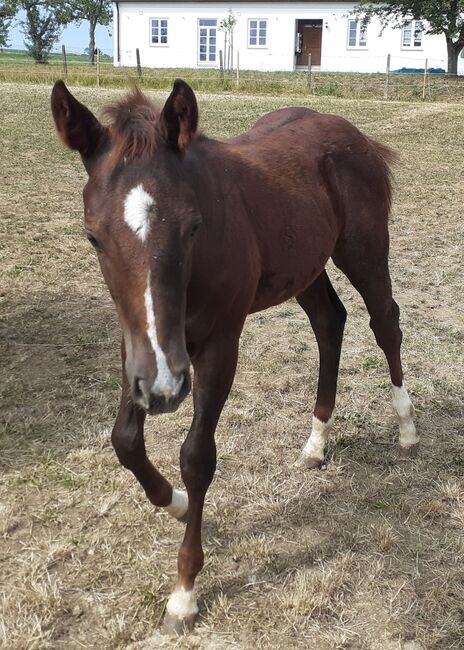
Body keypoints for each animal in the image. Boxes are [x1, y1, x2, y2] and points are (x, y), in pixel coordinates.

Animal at [50, 78, 416, 632]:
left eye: (193, 226)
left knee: (384, 323)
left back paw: (407, 427)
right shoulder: (138, 349)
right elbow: (125, 441)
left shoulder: (219, 345)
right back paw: (316, 443)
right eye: (93, 236)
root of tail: (353, 133)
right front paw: (177, 504)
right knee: (329, 322)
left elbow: (197, 457)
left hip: (365, 251)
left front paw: (183, 593)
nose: (165, 391)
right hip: (303, 268)